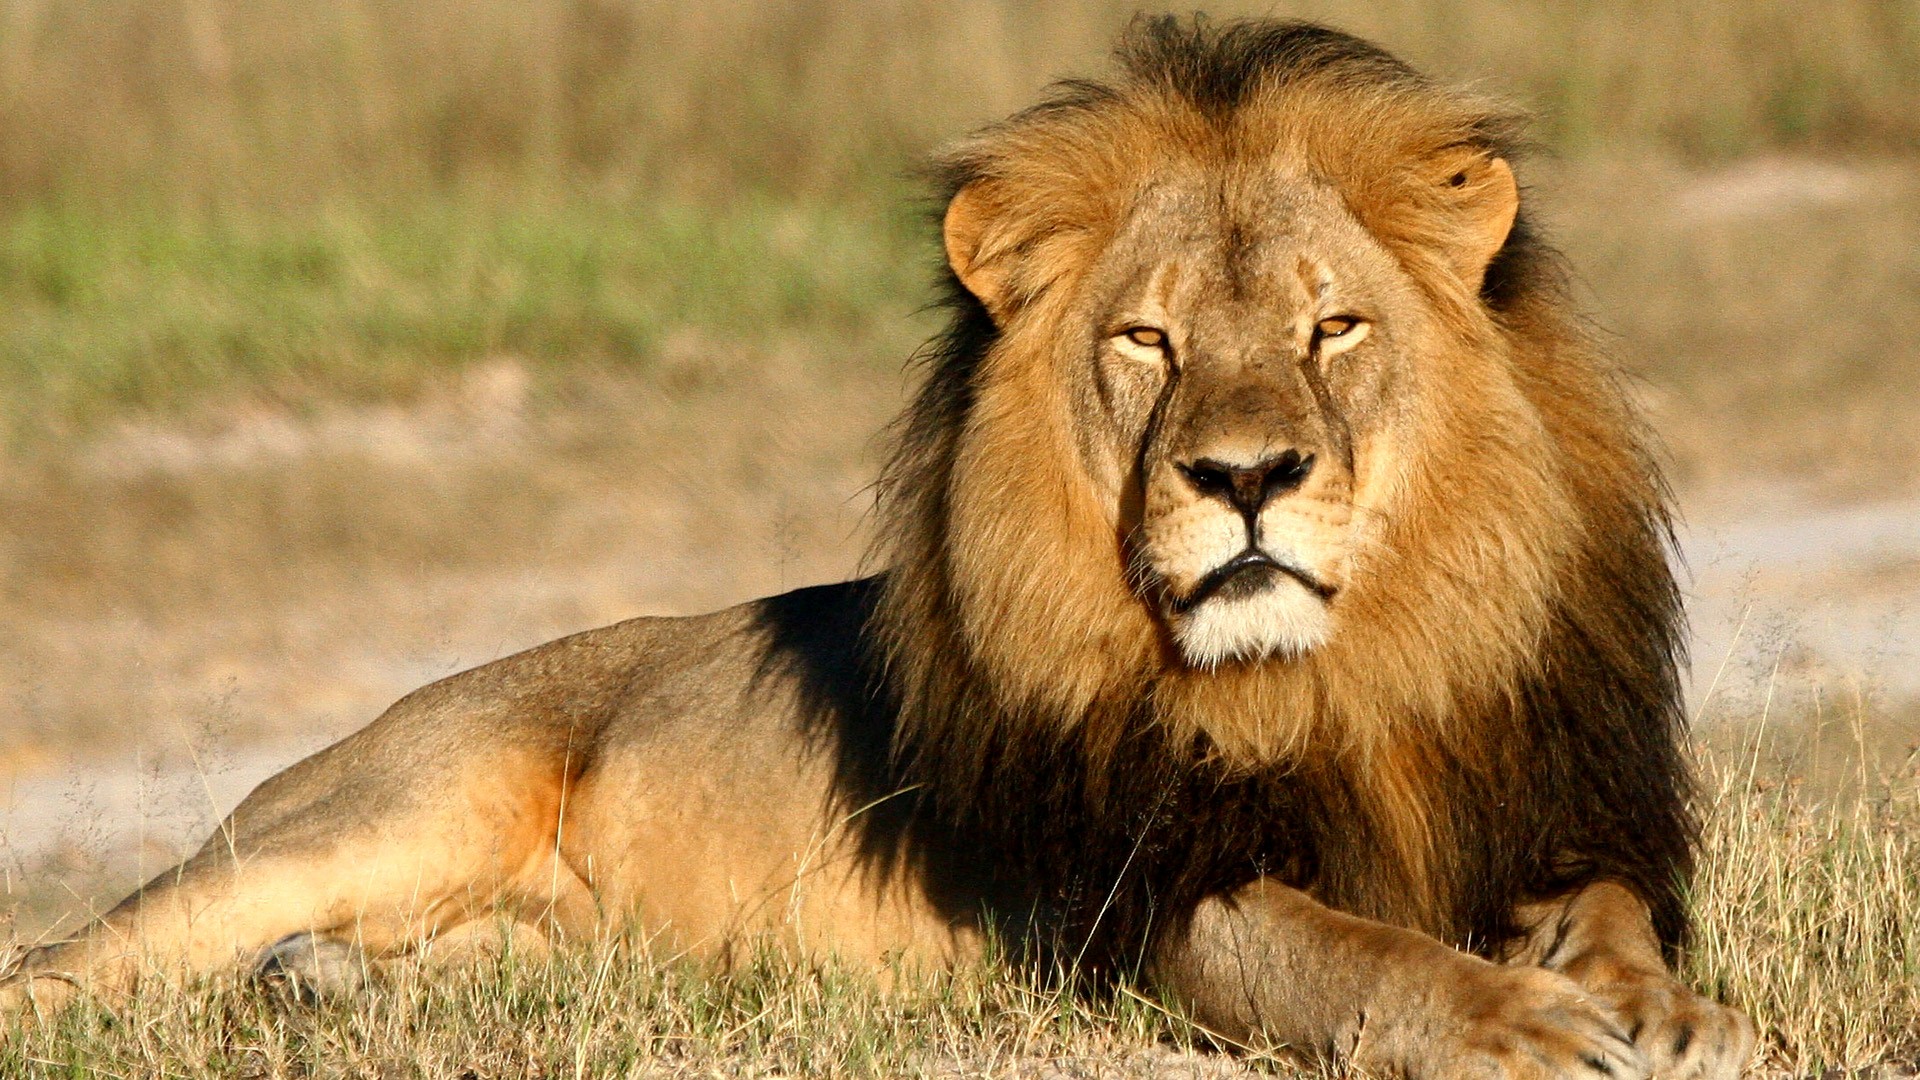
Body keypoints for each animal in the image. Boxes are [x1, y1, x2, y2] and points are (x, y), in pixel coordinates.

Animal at [4, 17, 1754, 1079]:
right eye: (1147, 342)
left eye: (1335, 328)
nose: (1245, 476)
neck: (1342, 675)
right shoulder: (1130, 904)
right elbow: (1345, 953)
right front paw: (1527, 1024)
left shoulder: (1549, 811)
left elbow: (1613, 914)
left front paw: (1664, 1012)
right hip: (374, 813)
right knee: (65, 961)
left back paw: (333, 988)